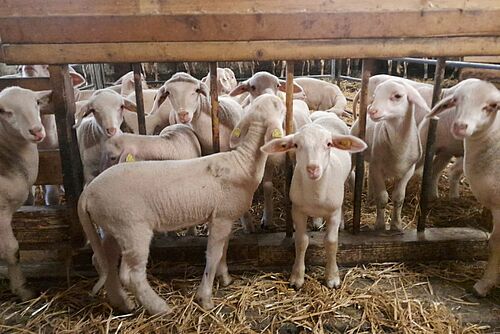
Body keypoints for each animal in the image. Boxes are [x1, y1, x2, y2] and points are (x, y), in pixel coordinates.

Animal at [77, 92, 286, 314]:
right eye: (279, 107)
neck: (243, 162)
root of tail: (87, 193)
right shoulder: (221, 218)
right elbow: (213, 255)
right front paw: (206, 297)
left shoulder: (225, 218)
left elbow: (223, 249)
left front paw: (225, 277)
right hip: (131, 228)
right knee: (132, 275)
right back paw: (159, 307)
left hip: (112, 227)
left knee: (104, 261)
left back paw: (122, 303)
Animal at [262, 123, 368, 290]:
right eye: (296, 145)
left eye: (329, 144)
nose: (312, 168)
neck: (316, 194)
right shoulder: (297, 211)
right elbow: (301, 241)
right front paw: (297, 277)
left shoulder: (333, 213)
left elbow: (331, 242)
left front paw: (332, 277)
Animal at [352, 79, 430, 230]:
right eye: (375, 95)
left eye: (398, 96)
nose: (372, 111)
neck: (399, 150)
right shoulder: (377, 167)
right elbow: (382, 197)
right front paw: (380, 225)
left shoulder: (408, 171)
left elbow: (399, 198)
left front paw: (396, 225)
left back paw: (370, 199)